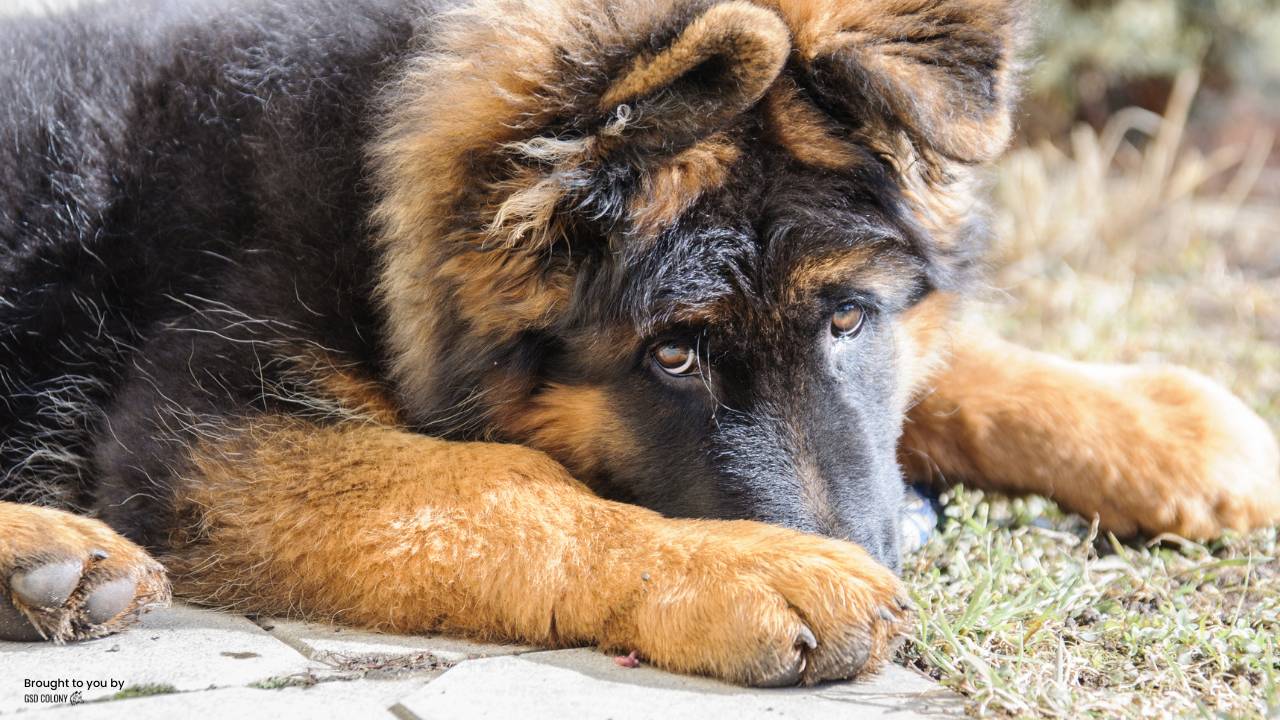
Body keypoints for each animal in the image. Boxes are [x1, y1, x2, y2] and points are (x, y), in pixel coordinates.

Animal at [2, 0, 1280, 681]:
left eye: (848, 317)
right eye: (671, 355)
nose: (873, 549)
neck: (364, 167)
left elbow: (948, 370)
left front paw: (1164, 424)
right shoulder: (196, 420)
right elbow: (497, 486)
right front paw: (745, 566)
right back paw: (54, 556)